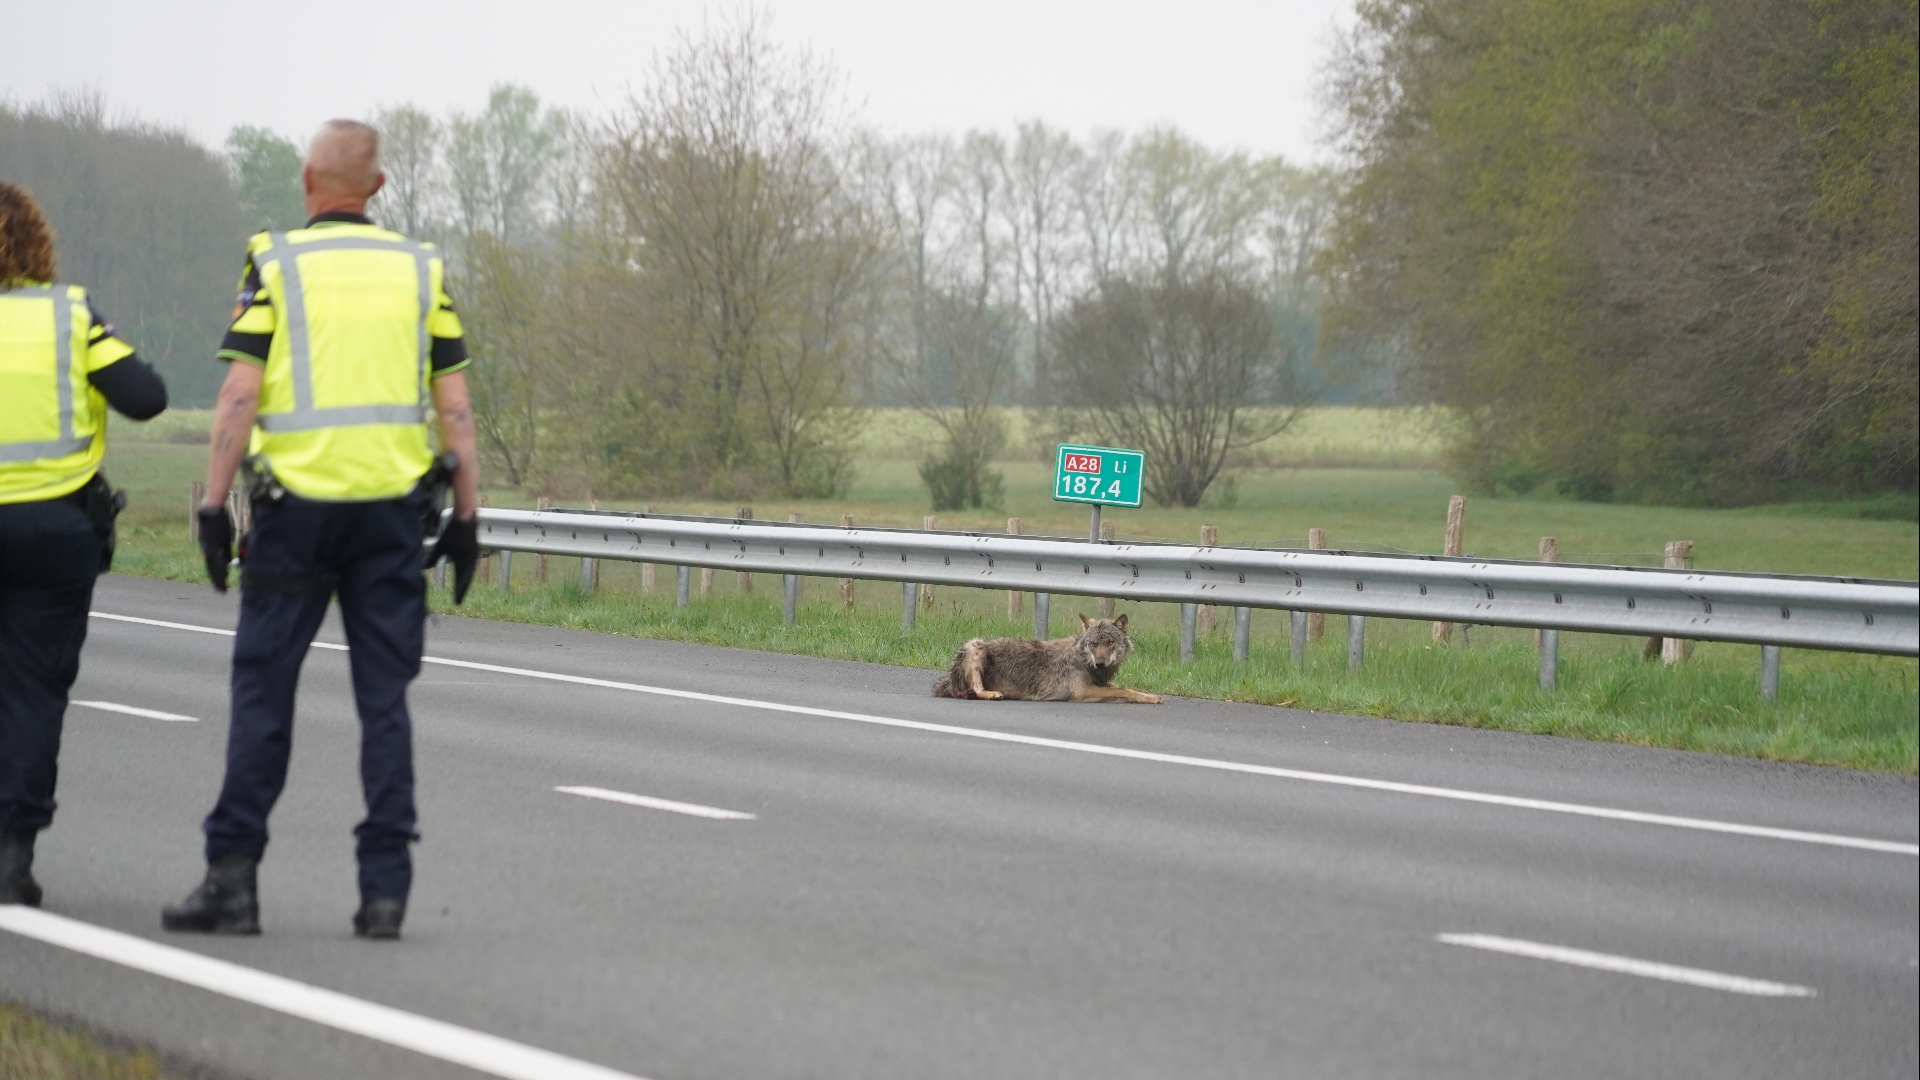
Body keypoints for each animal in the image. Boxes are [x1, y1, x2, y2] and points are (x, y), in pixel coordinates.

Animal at [931, 614, 1162, 703]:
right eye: (1094, 644)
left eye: (1110, 643)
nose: (1100, 663)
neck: (1083, 659)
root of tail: (945, 682)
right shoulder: (1082, 692)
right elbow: (1121, 691)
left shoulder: (1101, 683)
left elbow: (1126, 688)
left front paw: (1151, 696)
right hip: (976, 644)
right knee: (977, 689)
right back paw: (992, 694)